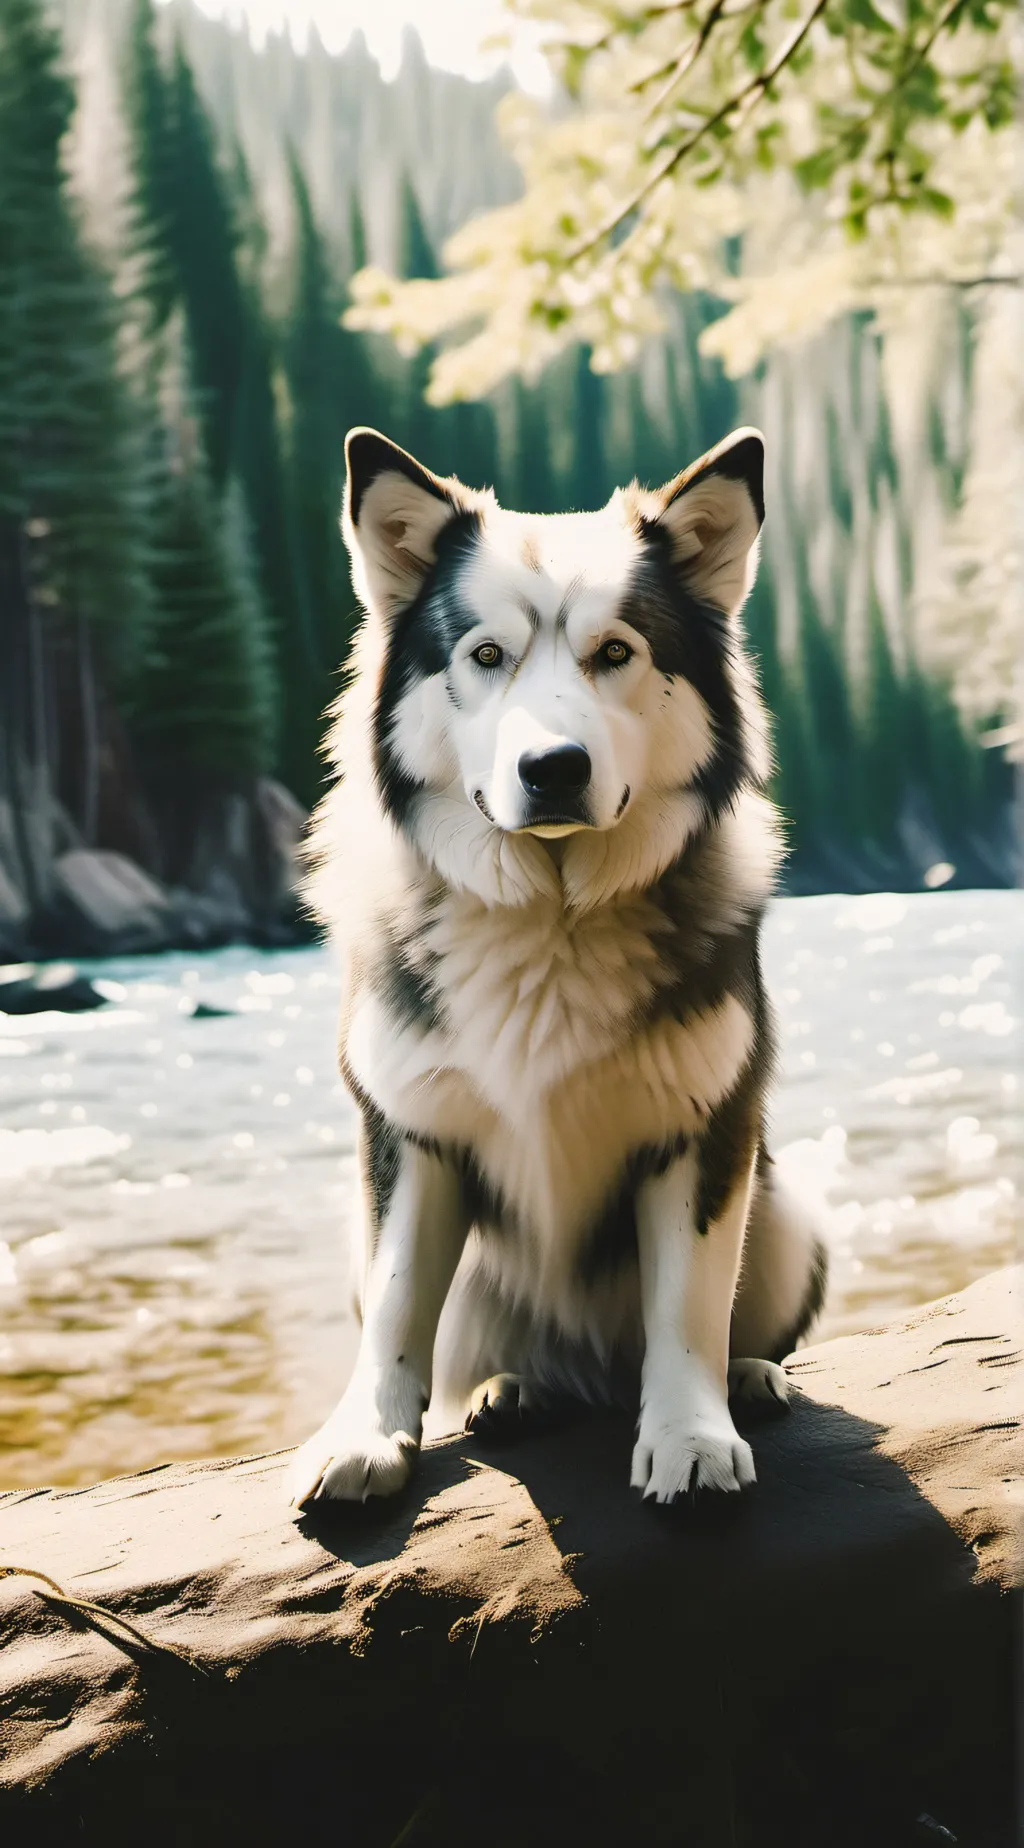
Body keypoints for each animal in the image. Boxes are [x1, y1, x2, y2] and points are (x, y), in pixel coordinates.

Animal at [287, 425, 827, 1511]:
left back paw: (749, 1375)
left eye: (614, 652)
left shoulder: (705, 1128)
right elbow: (396, 1304)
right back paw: (516, 1388)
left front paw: (690, 1433)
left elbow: (686, 1308)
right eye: (486, 656)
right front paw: (364, 1436)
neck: (551, 916)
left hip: (790, 1213)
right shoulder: (408, 1131)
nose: (553, 769)